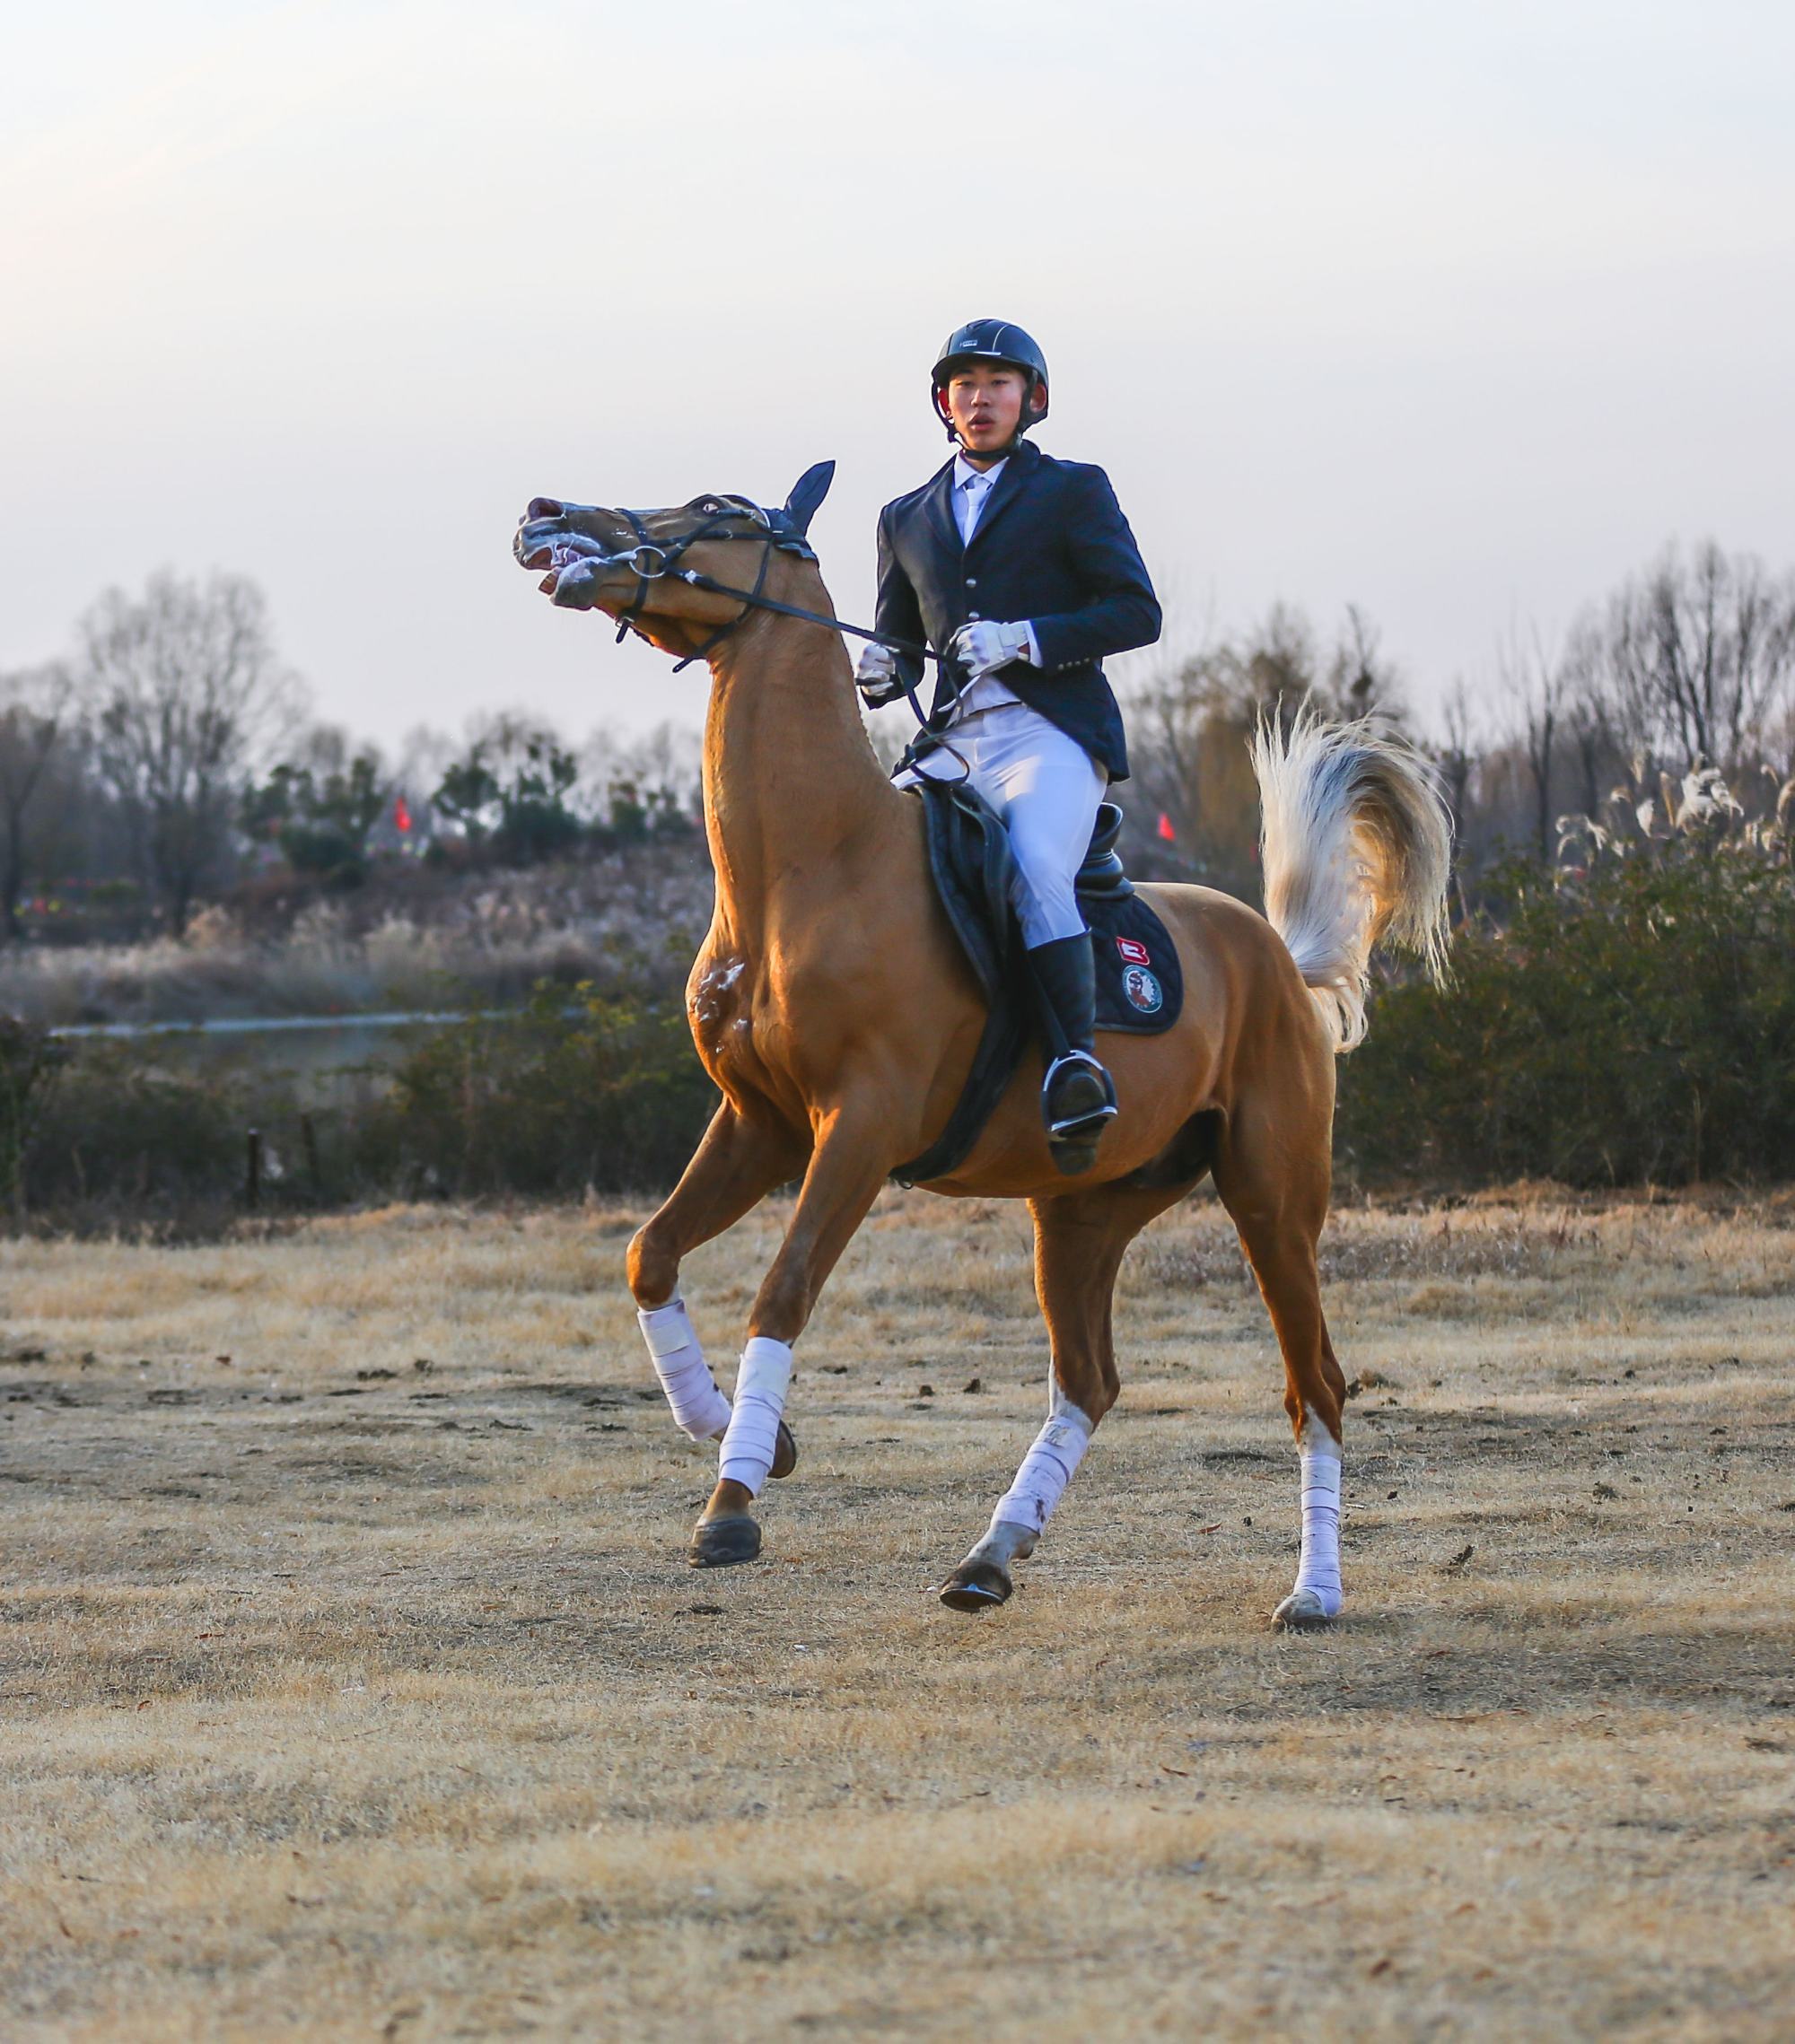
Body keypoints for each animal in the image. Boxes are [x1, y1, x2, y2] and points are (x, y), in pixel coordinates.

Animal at [512, 467, 1455, 1627]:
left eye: (714, 509)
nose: (547, 516)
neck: (809, 870)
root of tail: (1272, 952)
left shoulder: (858, 1129)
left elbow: (782, 1290)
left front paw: (731, 1505)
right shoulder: (760, 1124)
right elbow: (649, 1253)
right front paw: (753, 1437)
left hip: (1270, 1195)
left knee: (1311, 1380)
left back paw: (1311, 1593)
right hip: (1083, 1210)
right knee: (1088, 1380)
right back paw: (989, 1554)